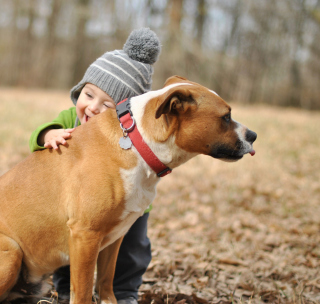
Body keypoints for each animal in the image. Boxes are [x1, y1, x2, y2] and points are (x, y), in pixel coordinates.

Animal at [0, 75, 255, 302]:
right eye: (226, 117)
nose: (253, 135)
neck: (137, 142)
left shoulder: (114, 237)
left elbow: (105, 280)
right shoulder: (85, 235)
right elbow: (82, 291)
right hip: (12, 251)